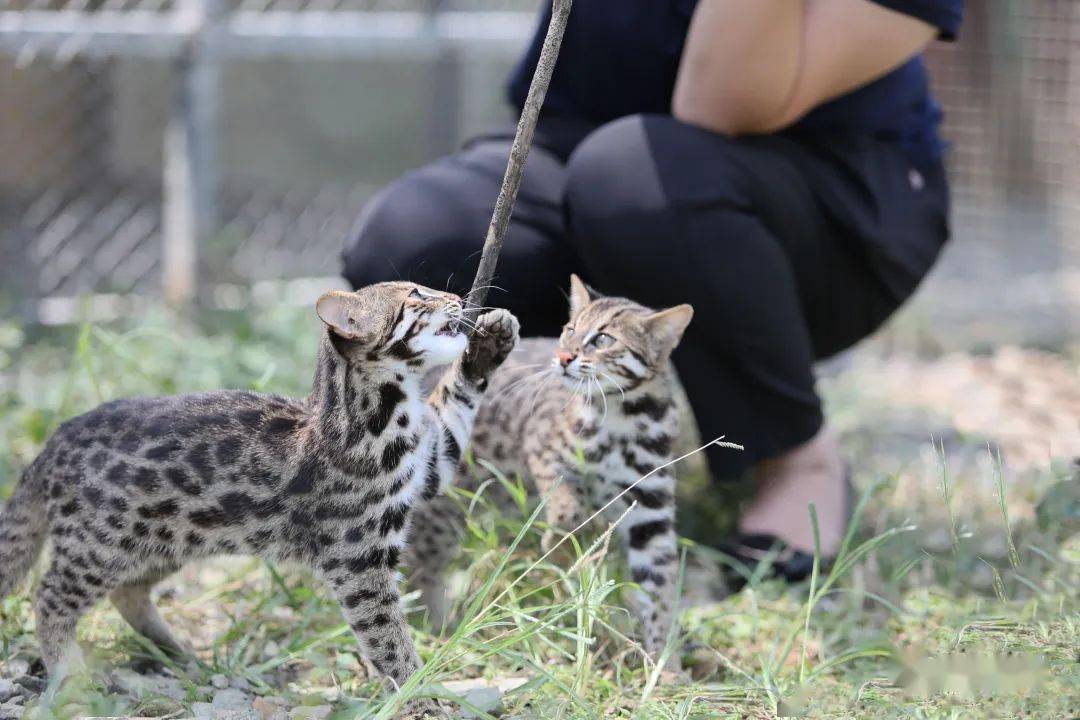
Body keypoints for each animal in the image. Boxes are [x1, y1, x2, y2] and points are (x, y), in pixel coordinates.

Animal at [0, 282, 518, 720]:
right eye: (416, 295)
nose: (458, 297)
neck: (385, 413)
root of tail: (53, 443)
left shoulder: (429, 463)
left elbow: (454, 415)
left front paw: (490, 345)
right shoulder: (358, 561)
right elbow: (389, 639)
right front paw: (419, 694)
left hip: (165, 538)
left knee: (127, 592)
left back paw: (175, 650)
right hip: (100, 546)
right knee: (49, 596)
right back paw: (68, 670)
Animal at [406, 276, 691, 669]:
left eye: (603, 339)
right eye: (570, 330)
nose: (564, 357)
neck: (624, 416)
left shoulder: (651, 512)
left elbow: (661, 592)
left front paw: (664, 664)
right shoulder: (542, 450)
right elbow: (567, 505)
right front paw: (560, 546)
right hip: (440, 510)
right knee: (420, 565)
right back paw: (433, 627)